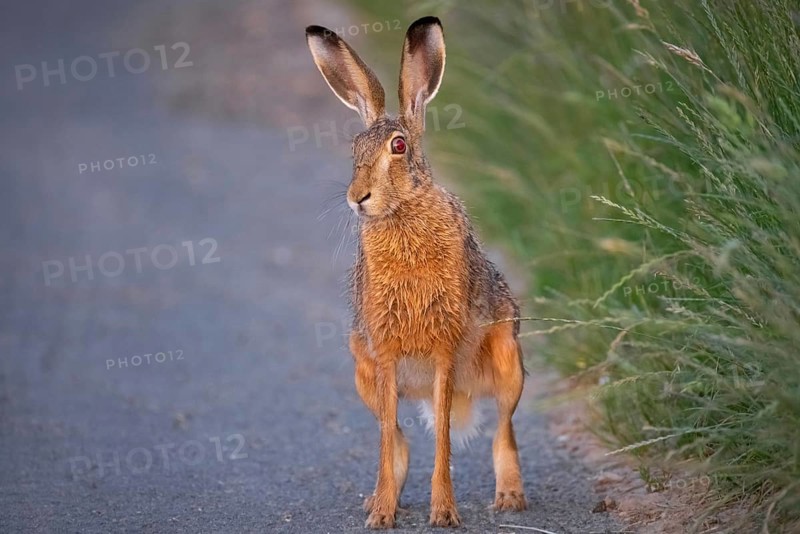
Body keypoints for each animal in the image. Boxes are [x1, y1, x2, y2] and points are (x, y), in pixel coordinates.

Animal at [305, 16, 527, 529]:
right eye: (354, 147)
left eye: (399, 146)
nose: (357, 198)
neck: (403, 213)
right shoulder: (384, 352)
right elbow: (389, 438)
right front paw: (382, 514)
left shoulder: (445, 349)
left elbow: (443, 436)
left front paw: (444, 513)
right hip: (361, 370)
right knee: (397, 435)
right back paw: (376, 499)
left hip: (509, 360)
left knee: (503, 427)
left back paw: (510, 498)